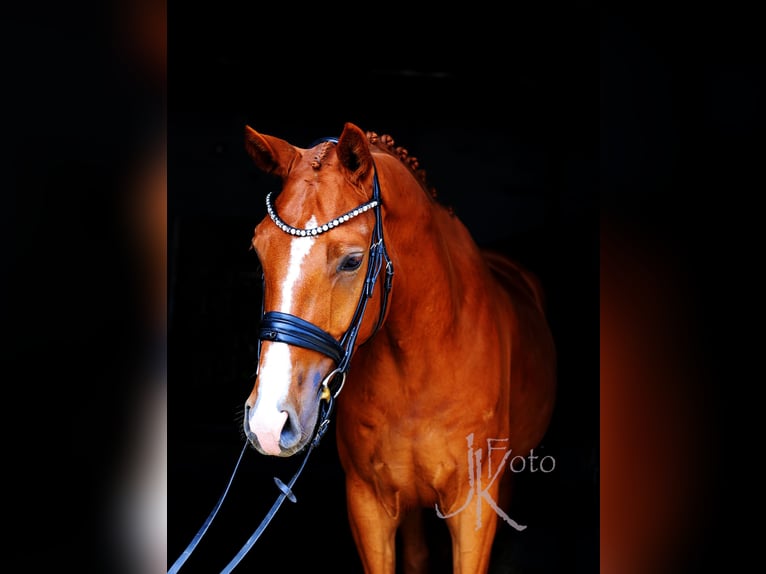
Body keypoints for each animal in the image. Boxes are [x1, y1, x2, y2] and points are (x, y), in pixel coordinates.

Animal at [242, 122, 557, 573]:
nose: (269, 421)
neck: (419, 368)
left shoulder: (474, 507)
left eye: (352, 261)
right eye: (259, 250)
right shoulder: (369, 505)